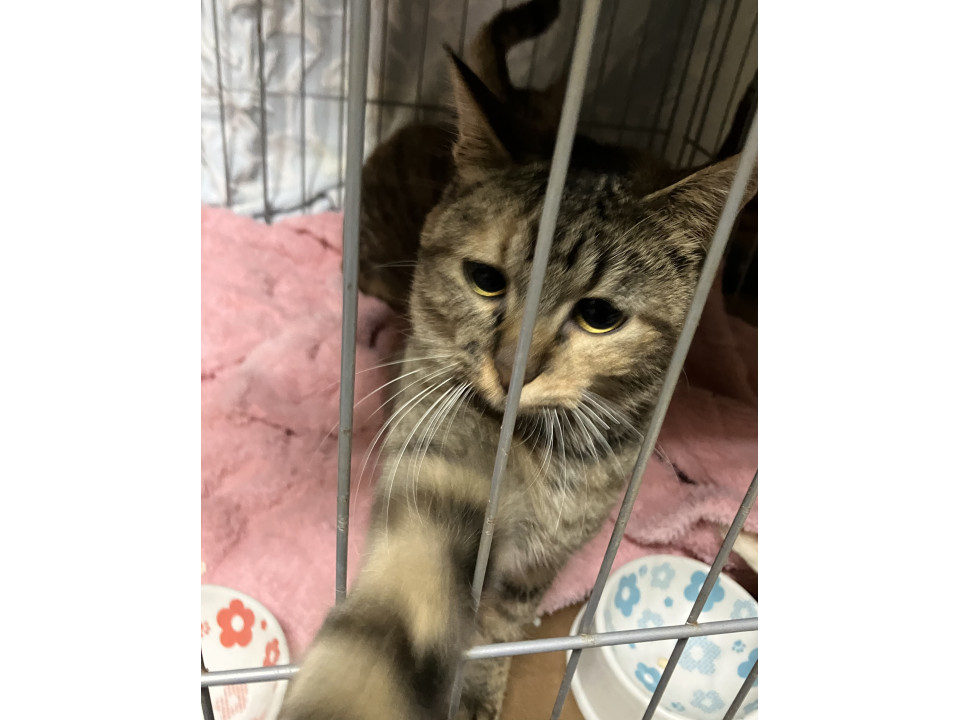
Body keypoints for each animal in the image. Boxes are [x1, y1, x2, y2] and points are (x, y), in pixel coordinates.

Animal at [280, 7, 758, 720]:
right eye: (485, 280)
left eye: (600, 316)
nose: (513, 371)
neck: (544, 455)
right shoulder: (438, 455)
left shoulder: (540, 563)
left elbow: (503, 625)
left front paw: (481, 686)